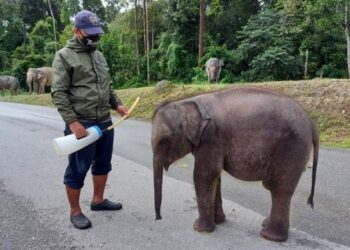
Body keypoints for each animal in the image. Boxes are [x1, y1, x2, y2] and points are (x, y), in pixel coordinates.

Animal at [152, 87, 318, 242]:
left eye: (164, 141)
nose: (159, 218)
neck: (185, 102)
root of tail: (311, 123)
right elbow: (216, 175)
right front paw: (219, 221)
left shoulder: (210, 137)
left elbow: (204, 176)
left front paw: (200, 229)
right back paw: (266, 225)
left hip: (291, 149)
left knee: (279, 188)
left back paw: (270, 236)